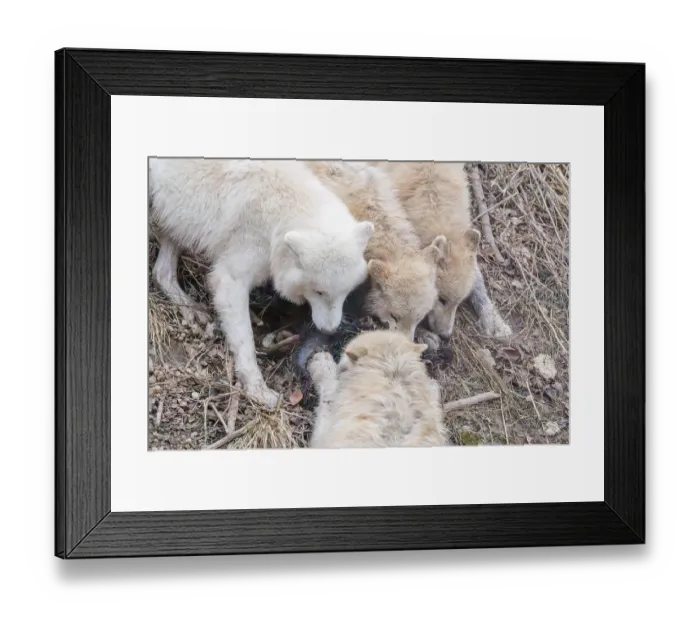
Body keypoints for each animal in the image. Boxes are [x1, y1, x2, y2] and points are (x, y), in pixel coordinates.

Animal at [148, 158, 374, 408]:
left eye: (345, 293)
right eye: (319, 292)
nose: (330, 330)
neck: (280, 216)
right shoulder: (230, 280)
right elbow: (245, 341)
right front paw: (257, 389)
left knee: (161, 272)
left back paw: (190, 308)